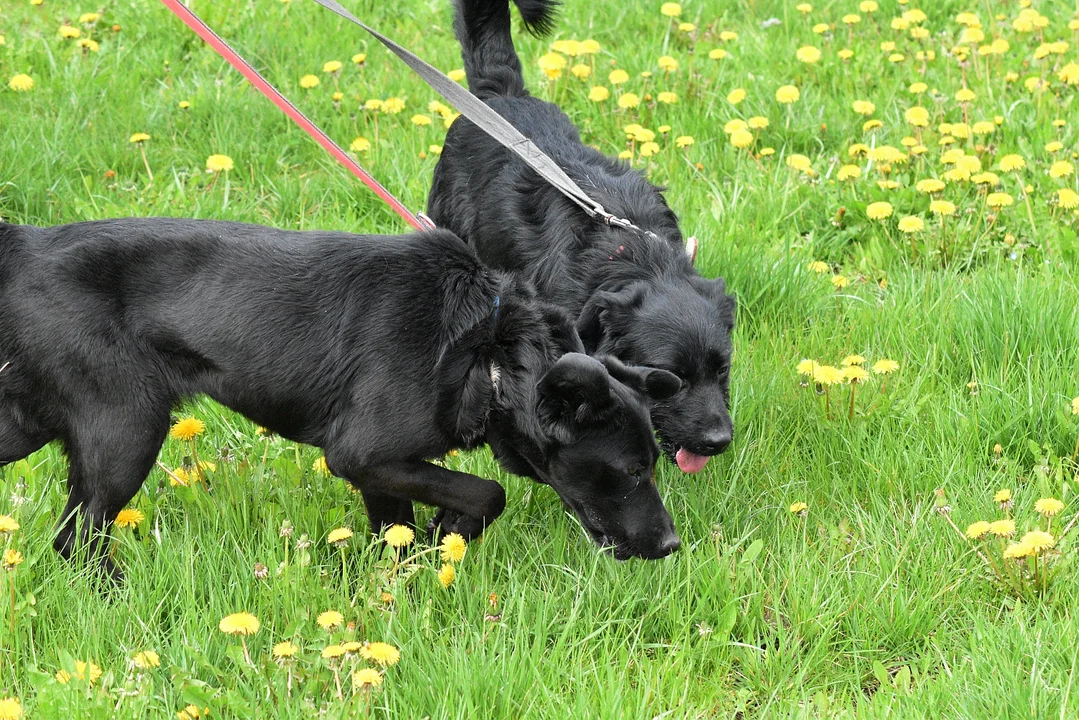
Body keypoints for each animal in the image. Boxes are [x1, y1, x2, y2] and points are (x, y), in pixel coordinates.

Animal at [0, 216, 681, 578]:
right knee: (75, 540)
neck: (484, 349)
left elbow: (397, 532)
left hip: (30, 422)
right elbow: (489, 491)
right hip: (127, 429)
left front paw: (419, 561)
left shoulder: (383, 471)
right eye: (632, 471)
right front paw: (450, 530)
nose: (674, 546)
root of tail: (24, 245)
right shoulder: (361, 454)